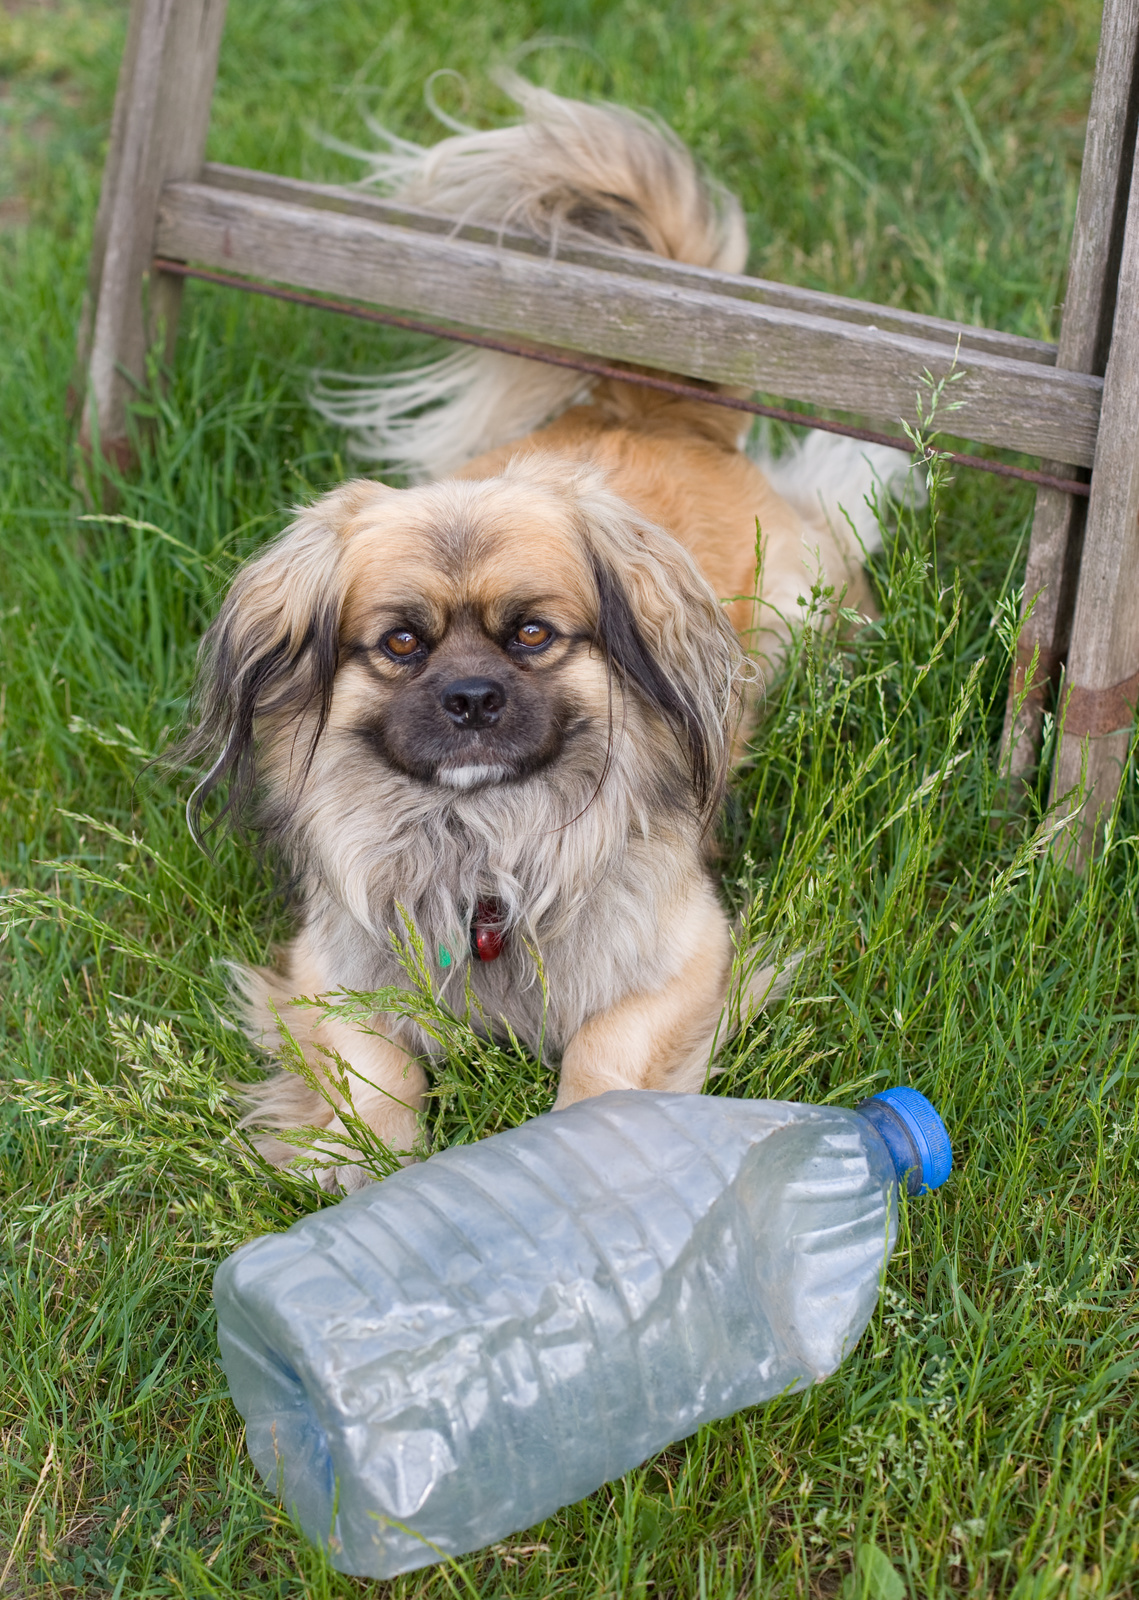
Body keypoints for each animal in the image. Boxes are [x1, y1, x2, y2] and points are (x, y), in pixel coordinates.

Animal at [187, 81, 915, 1196]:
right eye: (400, 645)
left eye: (531, 634)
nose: (470, 699)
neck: (485, 848)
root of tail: (656, 406)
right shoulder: (331, 967)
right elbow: (378, 1078)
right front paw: (371, 1175)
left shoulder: (683, 953)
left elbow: (603, 1053)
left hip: (807, 611)